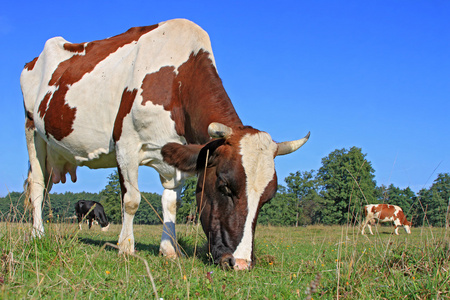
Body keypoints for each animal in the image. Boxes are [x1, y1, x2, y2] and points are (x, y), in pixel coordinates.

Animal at [21, 18, 310, 270]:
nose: (239, 263)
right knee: (36, 185)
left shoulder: (178, 156)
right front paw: (126, 248)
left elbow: (171, 203)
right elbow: (131, 200)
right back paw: (37, 234)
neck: (177, 80)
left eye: (268, 198)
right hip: (32, 131)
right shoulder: (126, 146)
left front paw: (169, 250)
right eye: (225, 186)